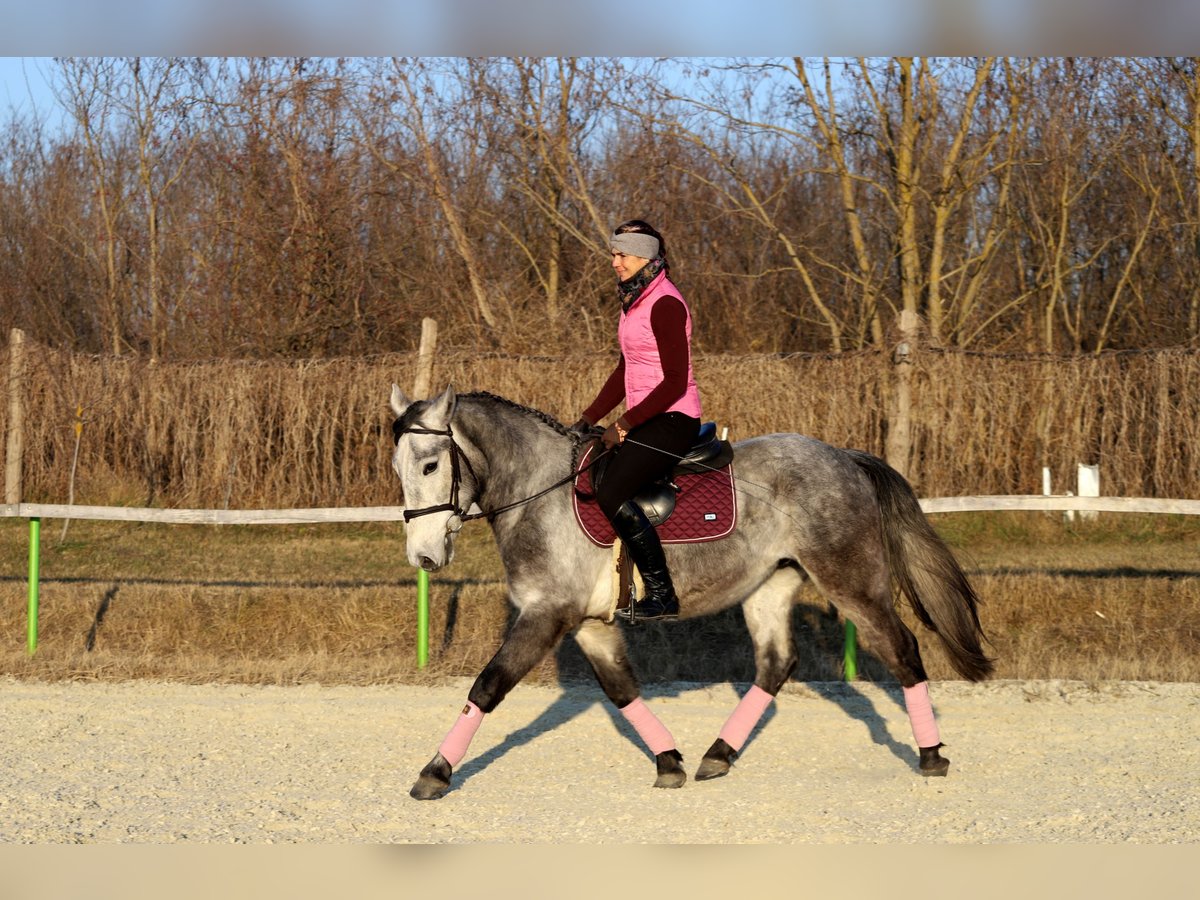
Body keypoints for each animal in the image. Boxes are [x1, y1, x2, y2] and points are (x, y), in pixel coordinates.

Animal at [388, 388, 988, 801]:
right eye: (398, 468)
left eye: (431, 464)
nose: (423, 557)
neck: (538, 494)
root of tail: (842, 455)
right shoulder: (590, 624)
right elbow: (622, 690)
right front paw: (669, 762)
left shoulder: (546, 614)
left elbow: (488, 685)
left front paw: (435, 772)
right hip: (770, 585)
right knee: (776, 664)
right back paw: (718, 754)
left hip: (852, 581)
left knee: (902, 649)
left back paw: (931, 755)